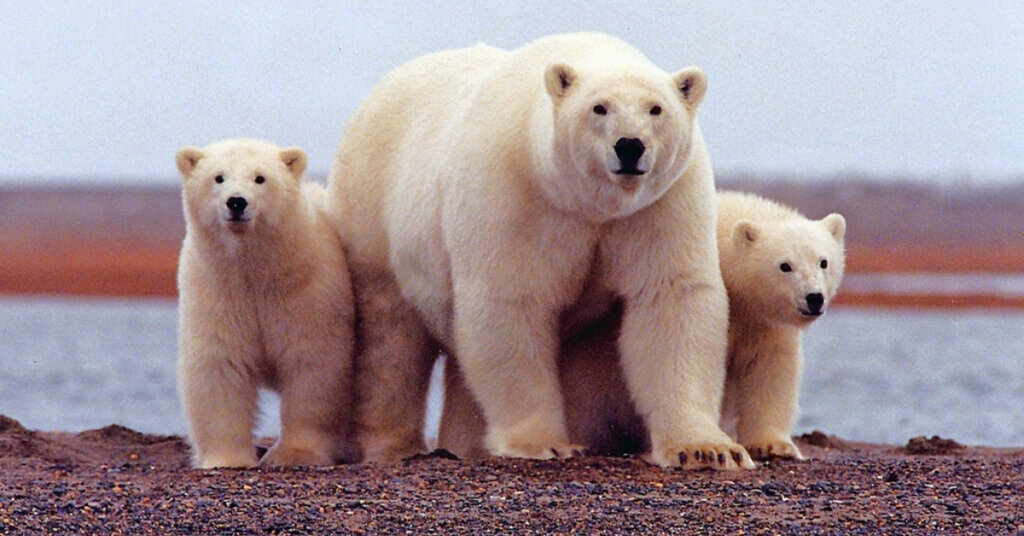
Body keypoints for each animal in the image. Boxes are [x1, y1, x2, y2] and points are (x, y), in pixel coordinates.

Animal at [176, 138, 356, 469]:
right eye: (218, 177)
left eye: (260, 178)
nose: (236, 202)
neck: (257, 273)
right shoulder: (217, 292)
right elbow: (220, 366)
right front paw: (227, 459)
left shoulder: (308, 293)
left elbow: (312, 365)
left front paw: (295, 454)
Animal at [328, 32, 752, 469]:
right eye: (599, 107)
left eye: (656, 109)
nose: (630, 146)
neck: (588, 204)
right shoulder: (516, 194)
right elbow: (511, 303)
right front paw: (543, 443)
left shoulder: (660, 204)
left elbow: (671, 299)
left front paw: (706, 449)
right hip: (374, 214)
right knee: (390, 340)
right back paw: (393, 445)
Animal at [440, 191, 846, 462]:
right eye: (784, 265)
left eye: (823, 261)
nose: (813, 298)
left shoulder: (762, 322)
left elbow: (770, 369)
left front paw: (773, 445)